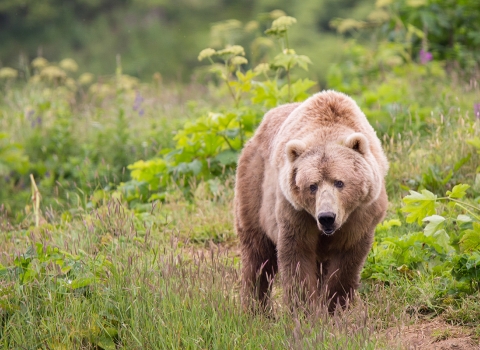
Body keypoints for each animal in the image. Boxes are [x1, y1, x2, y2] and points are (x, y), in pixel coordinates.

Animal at [234, 90, 388, 312]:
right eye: (312, 186)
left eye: (339, 182)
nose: (326, 217)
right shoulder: (295, 212)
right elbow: (297, 256)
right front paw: (305, 308)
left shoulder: (361, 214)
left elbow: (347, 259)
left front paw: (335, 306)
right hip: (254, 185)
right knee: (257, 254)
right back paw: (255, 307)